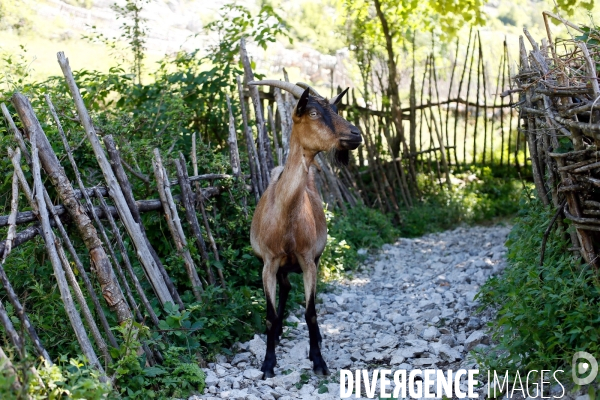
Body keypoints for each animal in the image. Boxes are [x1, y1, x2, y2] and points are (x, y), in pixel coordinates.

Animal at [248, 80, 360, 378]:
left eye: (336, 109)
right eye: (312, 113)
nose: (356, 134)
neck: (286, 220)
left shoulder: (309, 260)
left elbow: (311, 312)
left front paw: (318, 360)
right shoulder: (268, 263)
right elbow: (269, 314)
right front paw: (268, 363)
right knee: (285, 288)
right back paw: (277, 334)